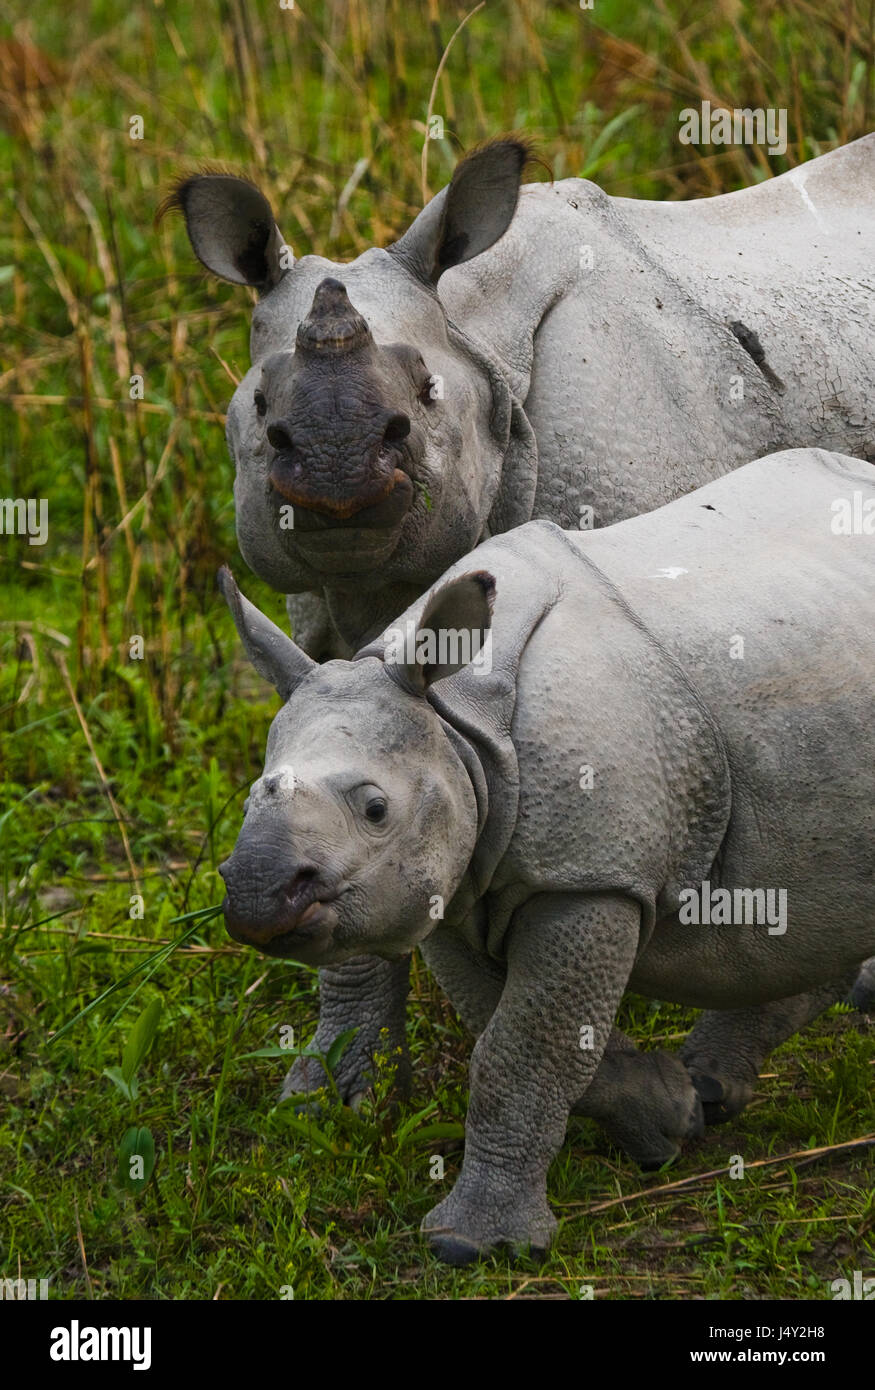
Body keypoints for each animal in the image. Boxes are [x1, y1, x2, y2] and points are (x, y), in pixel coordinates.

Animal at [217, 444, 868, 1262]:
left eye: (374, 809)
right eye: (249, 797)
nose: (257, 898)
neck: (459, 720)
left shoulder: (588, 876)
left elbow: (522, 1049)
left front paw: (473, 1245)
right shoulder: (455, 876)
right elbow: (518, 1032)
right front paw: (667, 1117)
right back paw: (714, 1089)